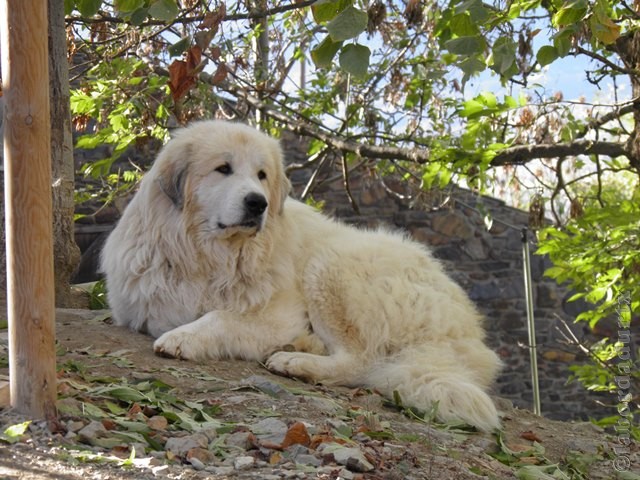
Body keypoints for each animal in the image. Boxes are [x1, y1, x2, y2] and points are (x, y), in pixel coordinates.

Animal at [100, 120, 502, 432]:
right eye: (223, 168)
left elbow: (220, 316)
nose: (258, 202)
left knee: (362, 362)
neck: (214, 256)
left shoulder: (281, 313)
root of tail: (467, 332)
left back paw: (296, 362)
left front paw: (184, 337)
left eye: (262, 175)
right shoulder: (146, 303)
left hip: (330, 264)